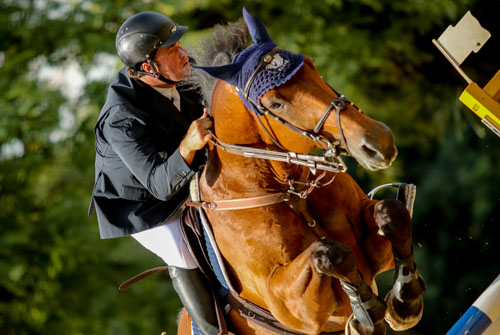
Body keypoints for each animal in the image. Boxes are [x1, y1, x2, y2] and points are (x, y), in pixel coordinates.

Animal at [180, 8, 426, 335]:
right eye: (275, 104)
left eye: (312, 65)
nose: (379, 142)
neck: (288, 188)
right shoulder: (291, 305)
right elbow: (330, 253)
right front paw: (367, 314)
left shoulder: (375, 251)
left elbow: (392, 213)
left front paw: (404, 302)